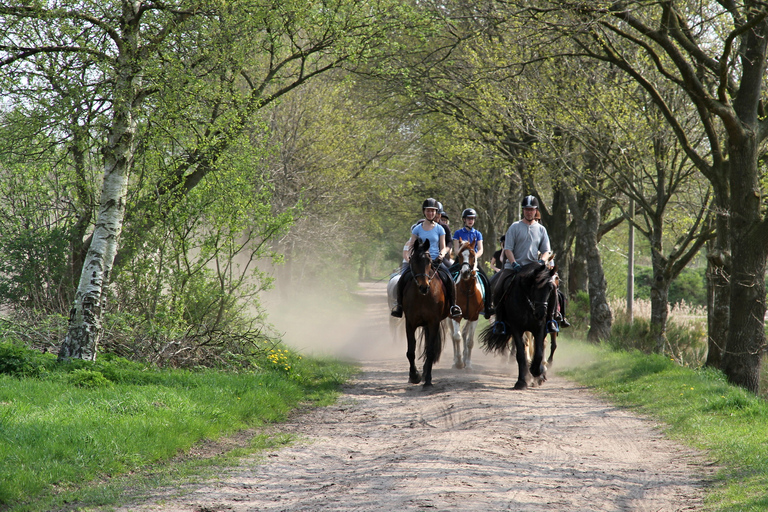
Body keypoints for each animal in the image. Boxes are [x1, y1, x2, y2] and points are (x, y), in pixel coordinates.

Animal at [402, 238, 450, 386]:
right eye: (413, 260)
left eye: (429, 261)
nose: (424, 287)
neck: (422, 296)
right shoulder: (410, 323)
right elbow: (410, 352)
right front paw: (414, 376)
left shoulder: (433, 322)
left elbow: (430, 351)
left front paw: (428, 380)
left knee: (430, 347)